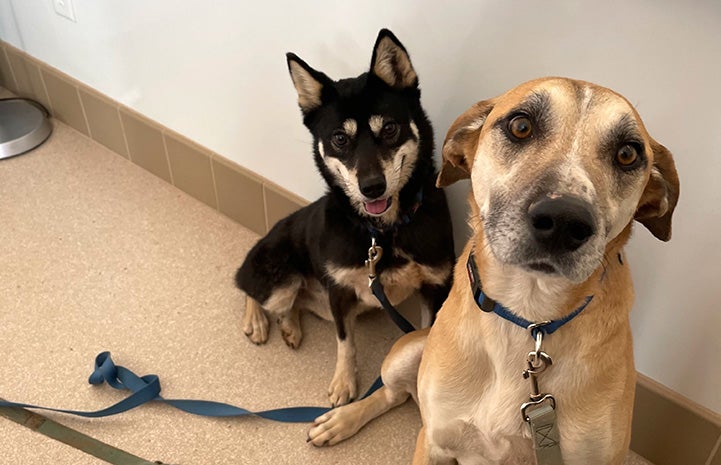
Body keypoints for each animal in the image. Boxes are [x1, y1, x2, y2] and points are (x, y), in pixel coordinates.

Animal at [236, 29, 452, 406]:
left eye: (390, 128)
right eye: (339, 138)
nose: (372, 187)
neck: (383, 232)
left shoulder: (435, 287)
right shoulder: (338, 291)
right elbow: (345, 344)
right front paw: (344, 383)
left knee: (291, 306)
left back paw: (289, 328)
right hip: (282, 277)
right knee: (250, 288)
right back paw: (258, 321)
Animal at [306, 78, 676, 462]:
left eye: (628, 154)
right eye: (520, 126)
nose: (563, 222)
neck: (527, 315)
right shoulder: (434, 442)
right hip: (406, 352)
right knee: (393, 392)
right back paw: (342, 419)